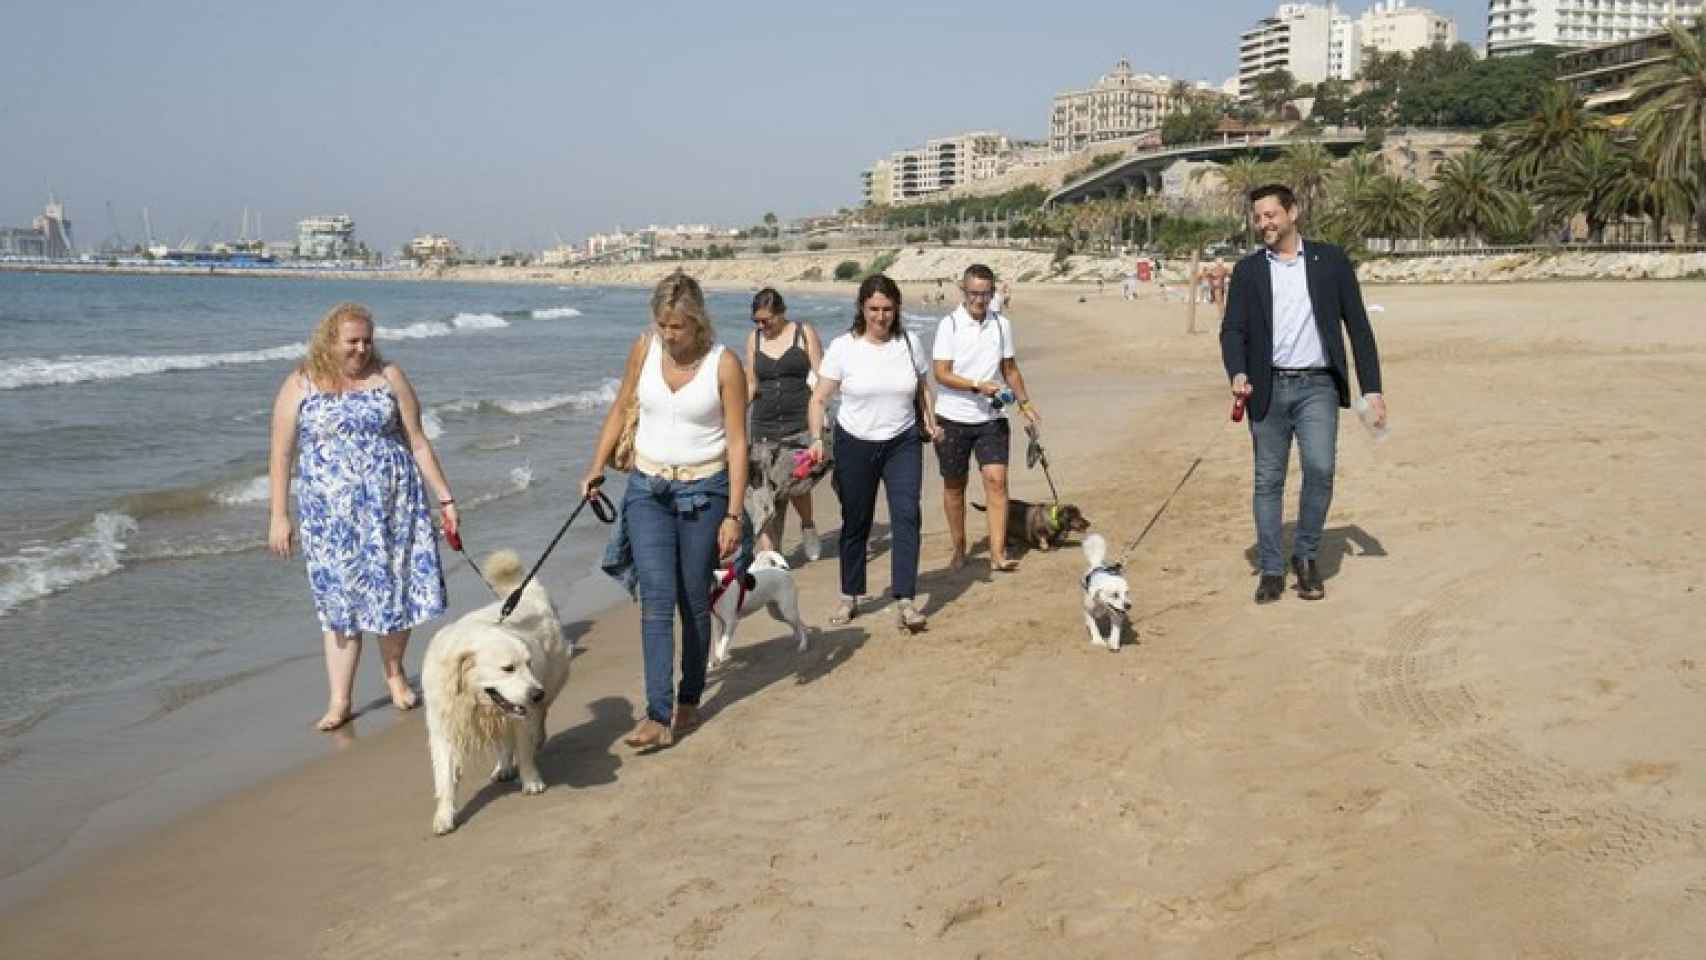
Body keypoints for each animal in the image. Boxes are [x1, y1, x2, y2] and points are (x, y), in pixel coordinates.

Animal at [421, 552, 569, 838]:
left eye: (528, 664)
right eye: (508, 668)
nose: (536, 693)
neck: (471, 698)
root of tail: (530, 593)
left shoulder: (521, 712)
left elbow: (524, 748)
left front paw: (531, 781)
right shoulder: (444, 725)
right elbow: (444, 776)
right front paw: (444, 816)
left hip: (553, 679)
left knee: (540, 716)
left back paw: (536, 738)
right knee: (506, 738)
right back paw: (503, 766)